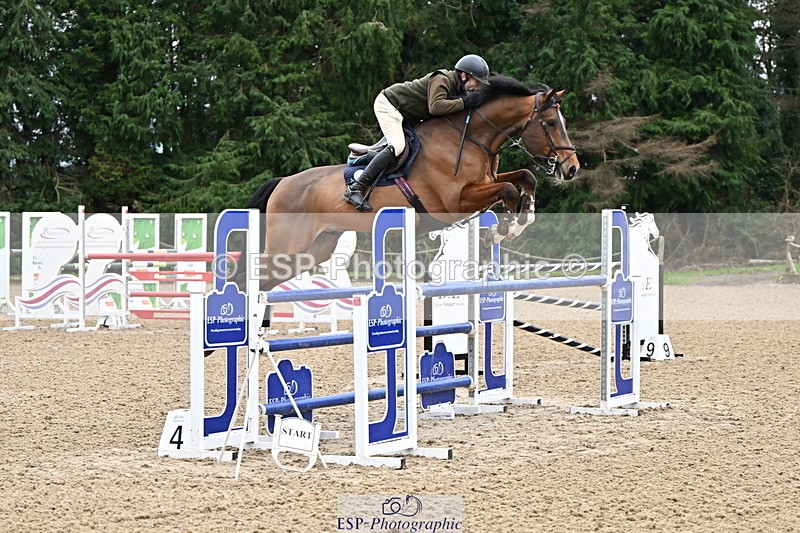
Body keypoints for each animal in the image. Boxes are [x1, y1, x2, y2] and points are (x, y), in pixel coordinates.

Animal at [248, 75, 580, 291]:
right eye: (551, 123)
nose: (572, 168)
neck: (471, 136)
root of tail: (282, 183)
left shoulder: (486, 181)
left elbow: (525, 177)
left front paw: (522, 221)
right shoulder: (456, 201)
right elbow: (509, 190)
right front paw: (501, 232)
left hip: (313, 251)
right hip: (287, 248)